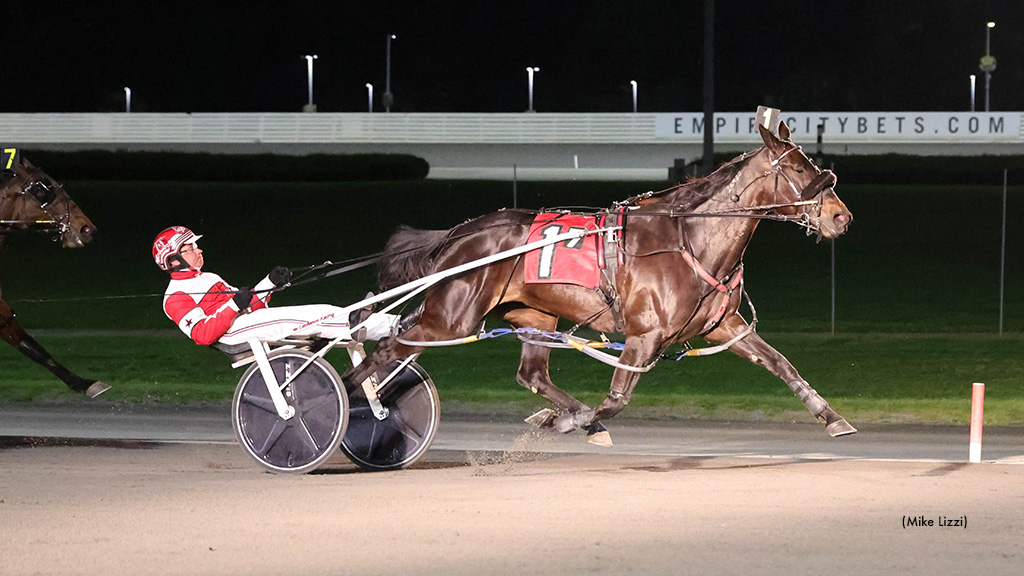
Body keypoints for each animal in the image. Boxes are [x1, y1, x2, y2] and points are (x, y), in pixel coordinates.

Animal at [352, 121, 856, 444]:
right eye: (798, 170)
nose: (841, 217)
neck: (690, 238)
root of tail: (460, 232)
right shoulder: (643, 336)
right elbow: (616, 400)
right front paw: (570, 422)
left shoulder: (725, 326)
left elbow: (780, 363)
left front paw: (831, 416)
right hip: (450, 318)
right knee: (384, 350)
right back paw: (353, 403)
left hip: (534, 315)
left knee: (530, 373)